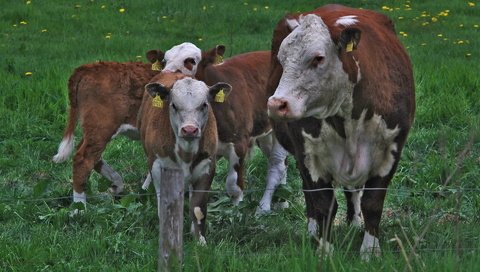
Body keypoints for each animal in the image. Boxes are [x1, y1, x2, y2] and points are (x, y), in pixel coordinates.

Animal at [52, 42, 201, 203]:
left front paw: (146, 189)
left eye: (191, 61)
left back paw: (117, 185)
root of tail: (88, 67)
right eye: (165, 60)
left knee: (92, 155)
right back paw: (79, 205)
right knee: (83, 159)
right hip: (102, 126)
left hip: (95, 130)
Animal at [137, 71, 232, 243]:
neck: (186, 153)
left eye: (204, 105)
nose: (189, 130)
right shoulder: (158, 165)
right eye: (174, 105)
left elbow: (198, 207)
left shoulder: (207, 166)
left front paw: (199, 239)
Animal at [194, 45, 288, 210]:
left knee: (277, 166)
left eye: (189, 62)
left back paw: (264, 207)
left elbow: (233, 184)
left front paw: (237, 207)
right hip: (265, 134)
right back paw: (282, 197)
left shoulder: (239, 142)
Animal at [266, 4, 416, 260]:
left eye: (318, 58)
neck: (347, 116)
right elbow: (323, 203)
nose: (277, 104)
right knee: (310, 194)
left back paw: (355, 223)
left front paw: (370, 250)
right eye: (281, 59)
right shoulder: (308, 153)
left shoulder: (391, 150)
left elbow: (372, 203)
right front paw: (325, 250)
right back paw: (312, 229)